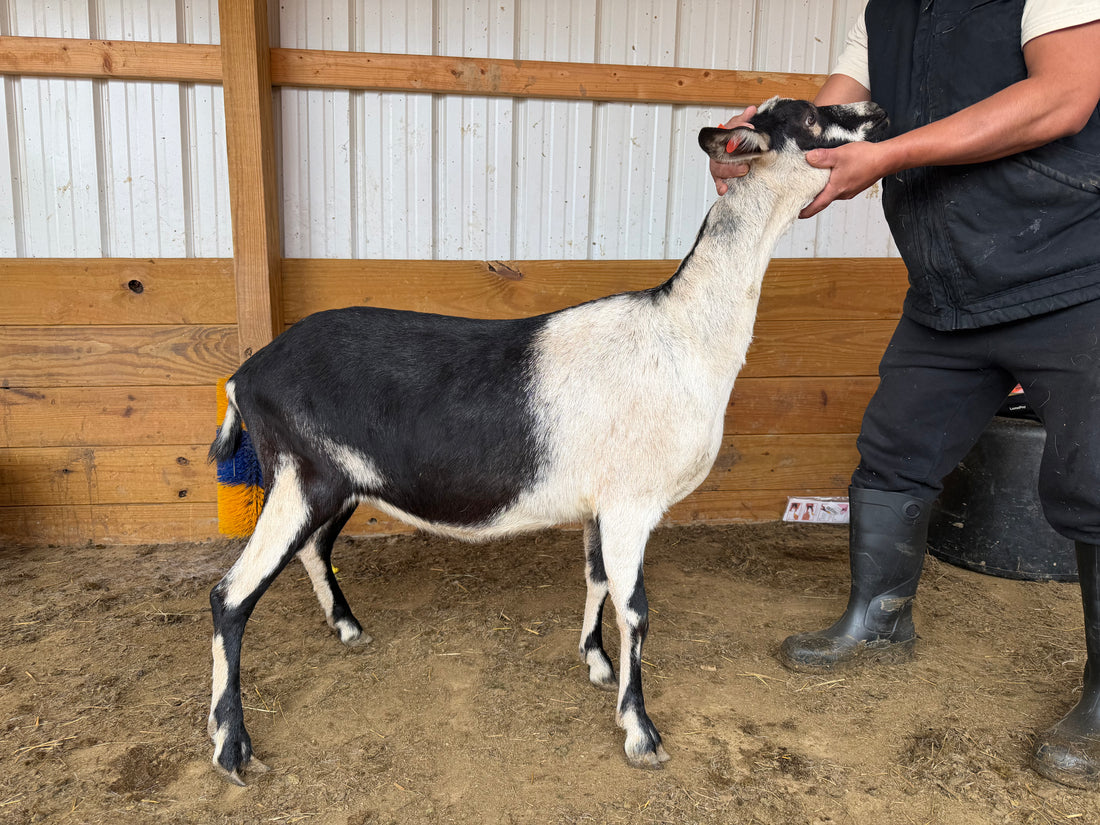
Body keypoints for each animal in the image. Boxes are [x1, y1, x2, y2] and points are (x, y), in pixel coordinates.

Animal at [206, 97, 889, 785]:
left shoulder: (600, 504)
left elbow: (597, 581)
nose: (875, 112)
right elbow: (636, 608)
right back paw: (231, 747)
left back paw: (346, 628)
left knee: (313, 548)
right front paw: (640, 731)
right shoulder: (631, 503)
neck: (681, 334)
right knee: (230, 595)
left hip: (335, 481)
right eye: (809, 120)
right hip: (301, 477)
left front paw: (596, 663)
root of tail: (245, 376)